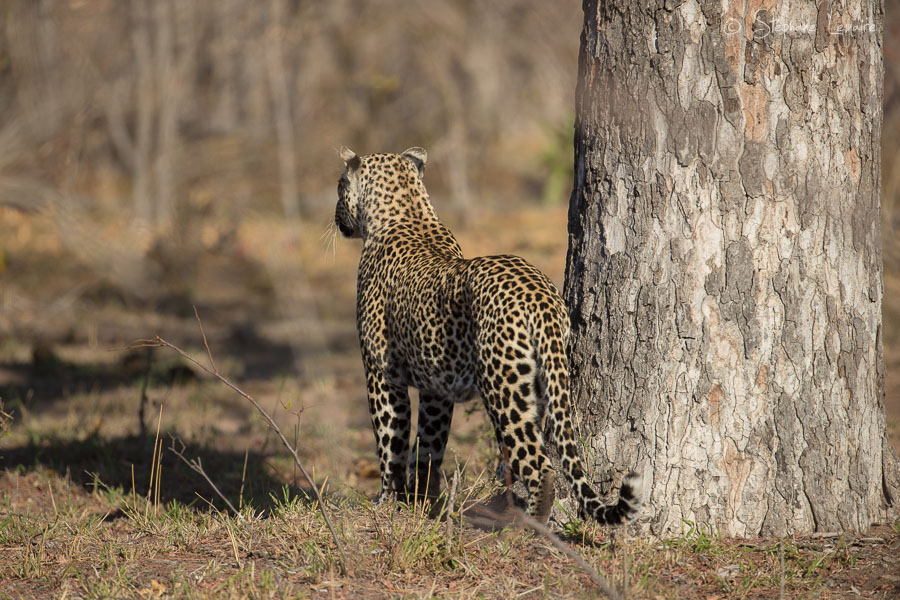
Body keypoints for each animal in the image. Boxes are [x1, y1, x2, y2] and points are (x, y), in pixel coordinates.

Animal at [335, 146, 643, 525]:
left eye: (339, 185)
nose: (336, 217)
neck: (409, 212)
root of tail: (540, 296)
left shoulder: (381, 374)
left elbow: (390, 441)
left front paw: (387, 501)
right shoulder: (436, 388)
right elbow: (429, 446)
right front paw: (424, 501)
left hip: (502, 389)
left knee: (539, 466)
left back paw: (526, 528)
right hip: (540, 384)